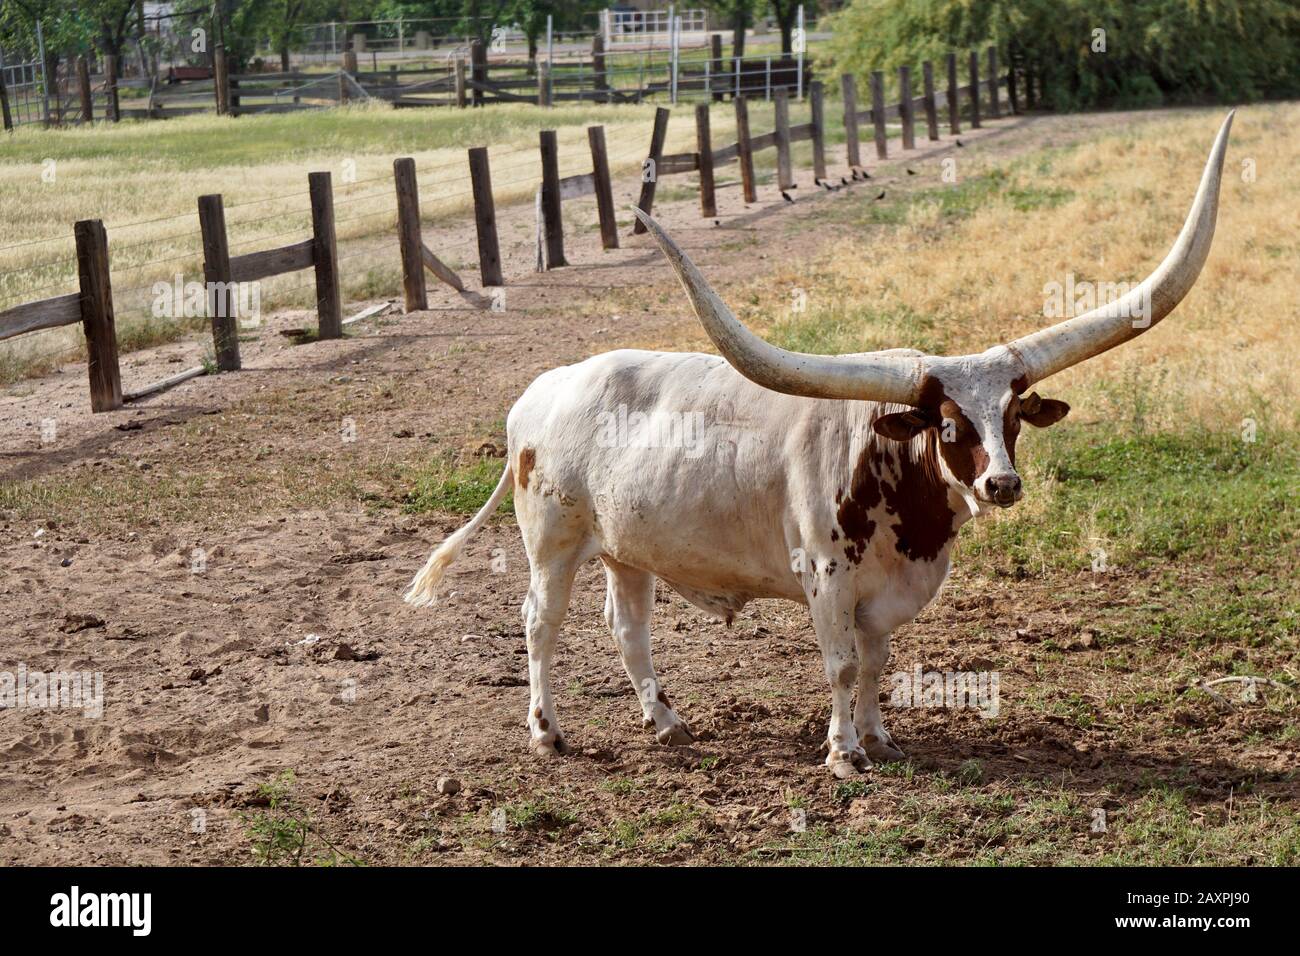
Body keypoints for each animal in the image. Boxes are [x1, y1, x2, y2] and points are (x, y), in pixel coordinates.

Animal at [410, 113, 1232, 780]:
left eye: (1013, 416)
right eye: (947, 424)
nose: (1001, 484)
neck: (902, 502)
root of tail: (541, 392)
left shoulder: (884, 597)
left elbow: (876, 665)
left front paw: (880, 739)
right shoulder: (827, 578)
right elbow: (838, 667)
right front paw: (842, 754)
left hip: (626, 548)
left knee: (628, 628)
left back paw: (666, 722)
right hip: (552, 542)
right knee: (539, 624)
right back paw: (547, 733)